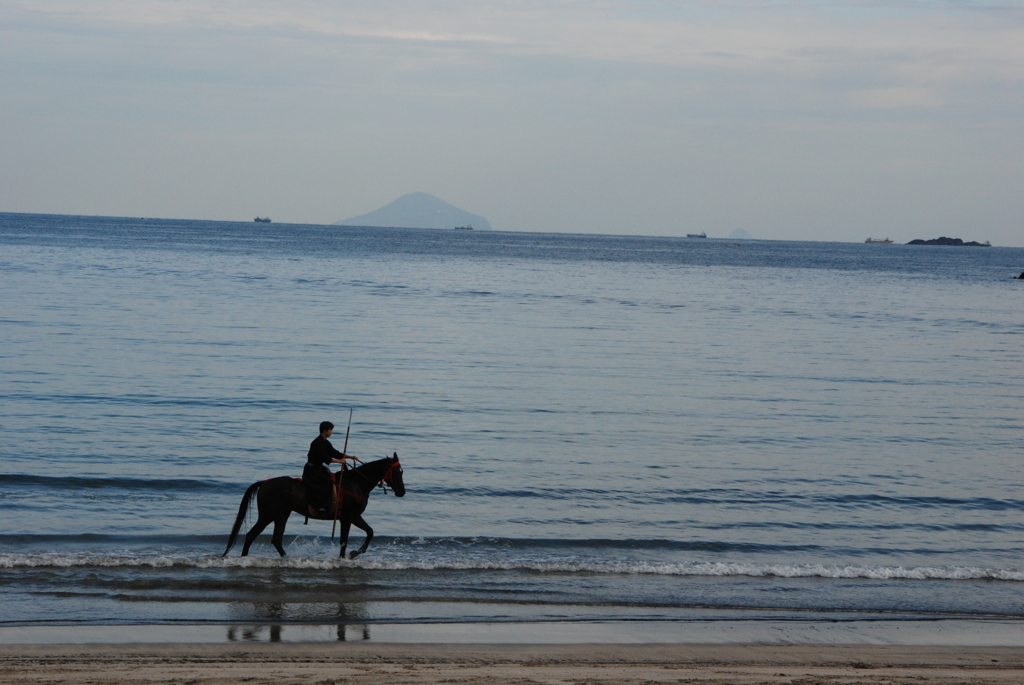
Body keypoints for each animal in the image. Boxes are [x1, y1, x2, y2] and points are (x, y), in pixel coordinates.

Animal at [223, 450, 403, 557]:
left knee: (276, 540)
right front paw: (346, 557)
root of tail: (264, 483)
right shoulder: (347, 518)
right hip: (267, 515)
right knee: (251, 535)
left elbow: (370, 532)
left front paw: (355, 553)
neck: (356, 483)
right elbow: (344, 542)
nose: (402, 492)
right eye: (397, 471)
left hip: (282, 514)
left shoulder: (354, 516)